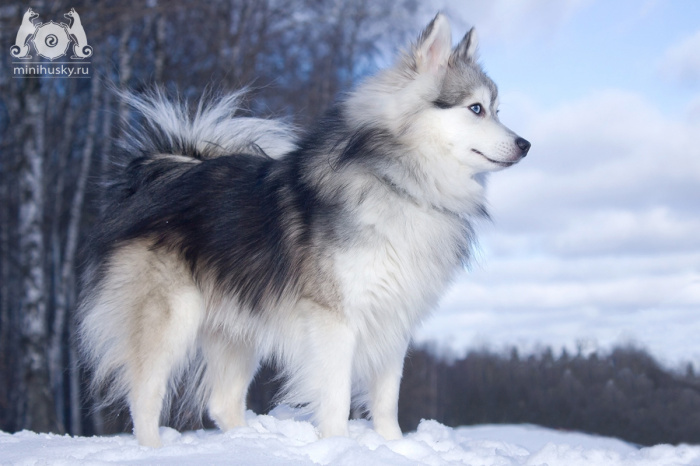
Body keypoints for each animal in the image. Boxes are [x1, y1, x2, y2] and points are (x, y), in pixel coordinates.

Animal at [76, 13, 528, 448]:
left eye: (497, 110)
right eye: (475, 108)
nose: (525, 145)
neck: (398, 182)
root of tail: (163, 172)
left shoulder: (393, 320)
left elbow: (386, 400)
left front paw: (393, 446)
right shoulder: (335, 321)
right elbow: (337, 398)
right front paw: (340, 446)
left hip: (235, 331)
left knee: (222, 402)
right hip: (170, 320)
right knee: (144, 397)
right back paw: (155, 449)